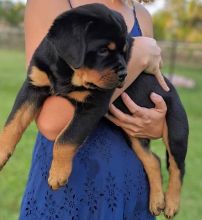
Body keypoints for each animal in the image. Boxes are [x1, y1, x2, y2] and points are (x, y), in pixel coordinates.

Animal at [0, 2, 189, 219]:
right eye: (103, 50)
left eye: (125, 52)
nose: (125, 74)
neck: (67, 72)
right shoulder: (33, 86)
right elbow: (13, 122)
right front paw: (1, 152)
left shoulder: (94, 105)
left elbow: (66, 138)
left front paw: (58, 173)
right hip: (134, 136)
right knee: (153, 161)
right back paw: (157, 200)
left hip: (176, 129)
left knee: (177, 167)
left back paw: (171, 203)